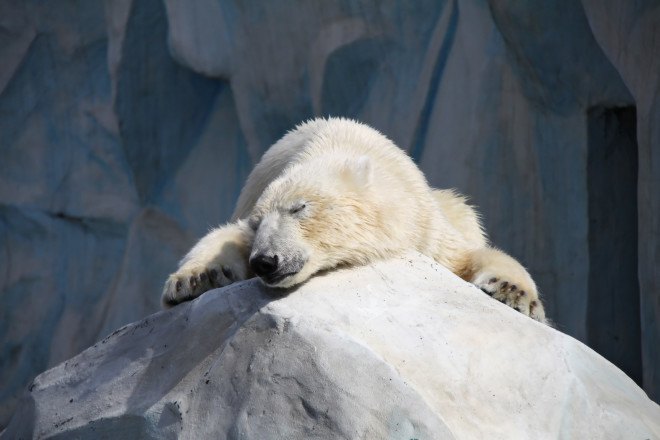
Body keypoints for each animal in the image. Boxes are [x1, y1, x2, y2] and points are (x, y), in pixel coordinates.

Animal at [162, 118, 547, 323]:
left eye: (299, 208)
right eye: (258, 223)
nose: (265, 261)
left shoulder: (424, 228)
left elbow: (468, 256)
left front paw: (513, 293)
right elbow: (225, 237)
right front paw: (195, 280)